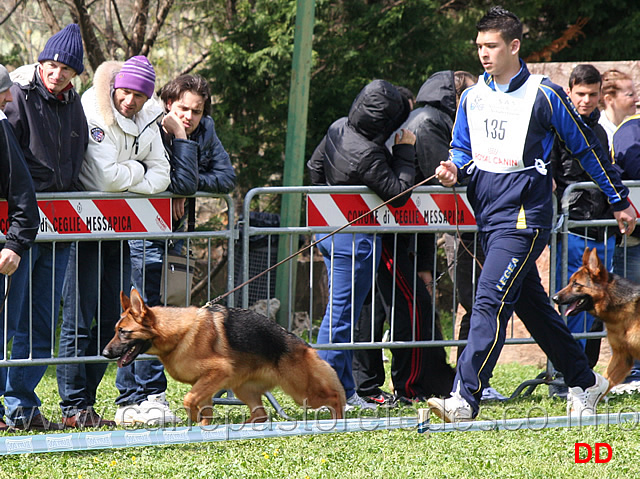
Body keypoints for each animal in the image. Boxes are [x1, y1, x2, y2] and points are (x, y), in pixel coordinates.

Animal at [103, 290, 348, 426]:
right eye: (115, 330)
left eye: (123, 332)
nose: (104, 354)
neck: (179, 333)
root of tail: (303, 345)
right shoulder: (205, 384)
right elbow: (204, 408)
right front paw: (203, 425)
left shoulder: (217, 372)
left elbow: (188, 400)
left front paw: (194, 418)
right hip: (243, 389)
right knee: (261, 415)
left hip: (301, 392)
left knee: (335, 396)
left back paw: (339, 419)